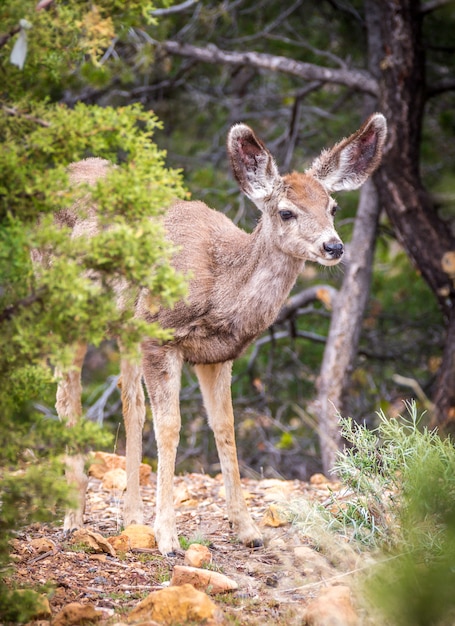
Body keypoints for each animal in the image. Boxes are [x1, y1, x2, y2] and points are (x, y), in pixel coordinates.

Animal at [54, 112, 388, 552]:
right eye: (286, 212)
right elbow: (171, 426)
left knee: (129, 405)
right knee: (67, 397)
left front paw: (247, 529)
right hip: (68, 305)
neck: (221, 289)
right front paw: (168, 537)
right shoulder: (158, 334)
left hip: (124, 328)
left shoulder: (217, 354)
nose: (334, 247)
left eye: (332, 206)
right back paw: (73, 518)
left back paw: (131, 518)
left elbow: (225, 427)